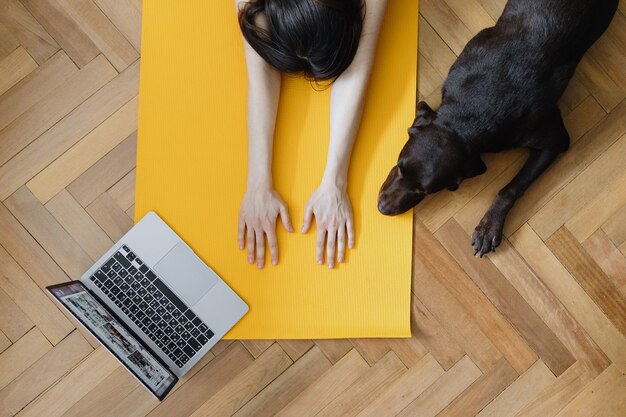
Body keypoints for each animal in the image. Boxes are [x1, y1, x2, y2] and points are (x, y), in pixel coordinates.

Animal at [376, 0, 616, 255]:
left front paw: (489, 226)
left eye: (424, 191)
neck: (466, 118)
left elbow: (510, 189)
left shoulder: (554, 140)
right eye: (399, 167)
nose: (382, 208)